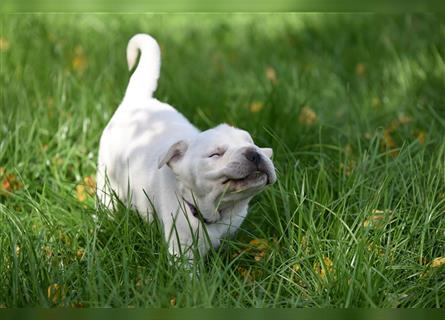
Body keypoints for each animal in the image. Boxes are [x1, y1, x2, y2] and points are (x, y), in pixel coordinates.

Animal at [98, 33, 274, 258]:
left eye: (252, 144)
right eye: (215, 154)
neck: (213, 213)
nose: (253, 153)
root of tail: (137, 100)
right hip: (106, 177)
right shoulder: (181, 246)